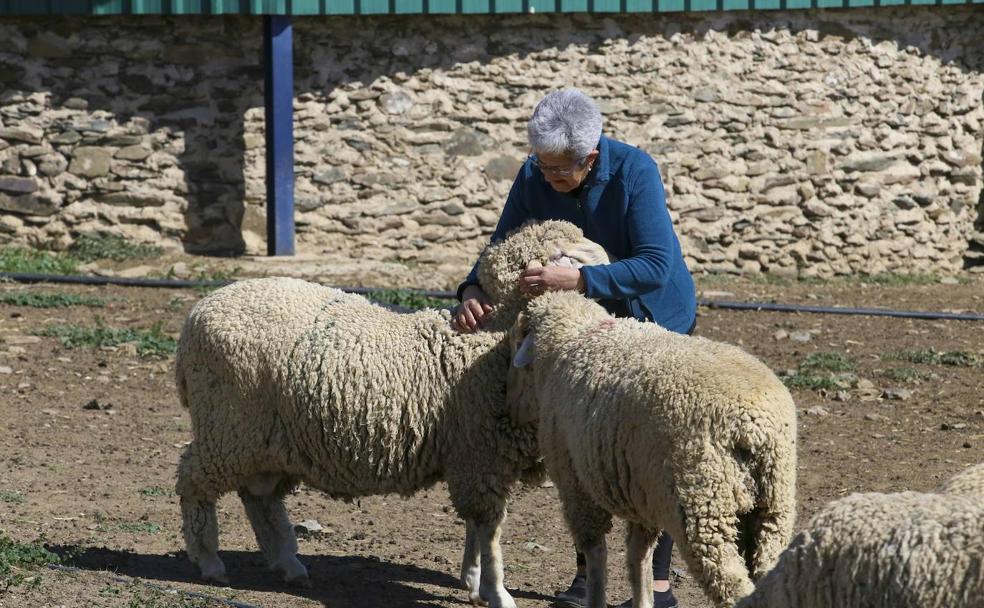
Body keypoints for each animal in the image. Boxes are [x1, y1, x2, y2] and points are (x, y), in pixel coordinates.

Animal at [177, 220, 608, 608]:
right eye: (565, 253)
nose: (606, 259)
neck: (491, 340)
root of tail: (198, 312)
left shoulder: (471, 454)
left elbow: (475, 526)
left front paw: (471, 581)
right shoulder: (480, 453)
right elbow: (489, 531)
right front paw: (496, 592)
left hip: (266, 439)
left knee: (260, 497)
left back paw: (288, 564)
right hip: (228, 425)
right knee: (194, 480)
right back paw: (210, 561)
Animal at [508, 290, 800, 608]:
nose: (510, 406)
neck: (574, 339)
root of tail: (754, 426)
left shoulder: (576, 486)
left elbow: (597, 556)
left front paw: (594, 597)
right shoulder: (641, 496)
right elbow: (640, 559)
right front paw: (644, 599)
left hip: (704, 503)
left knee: (732, 582)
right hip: (773, 508)